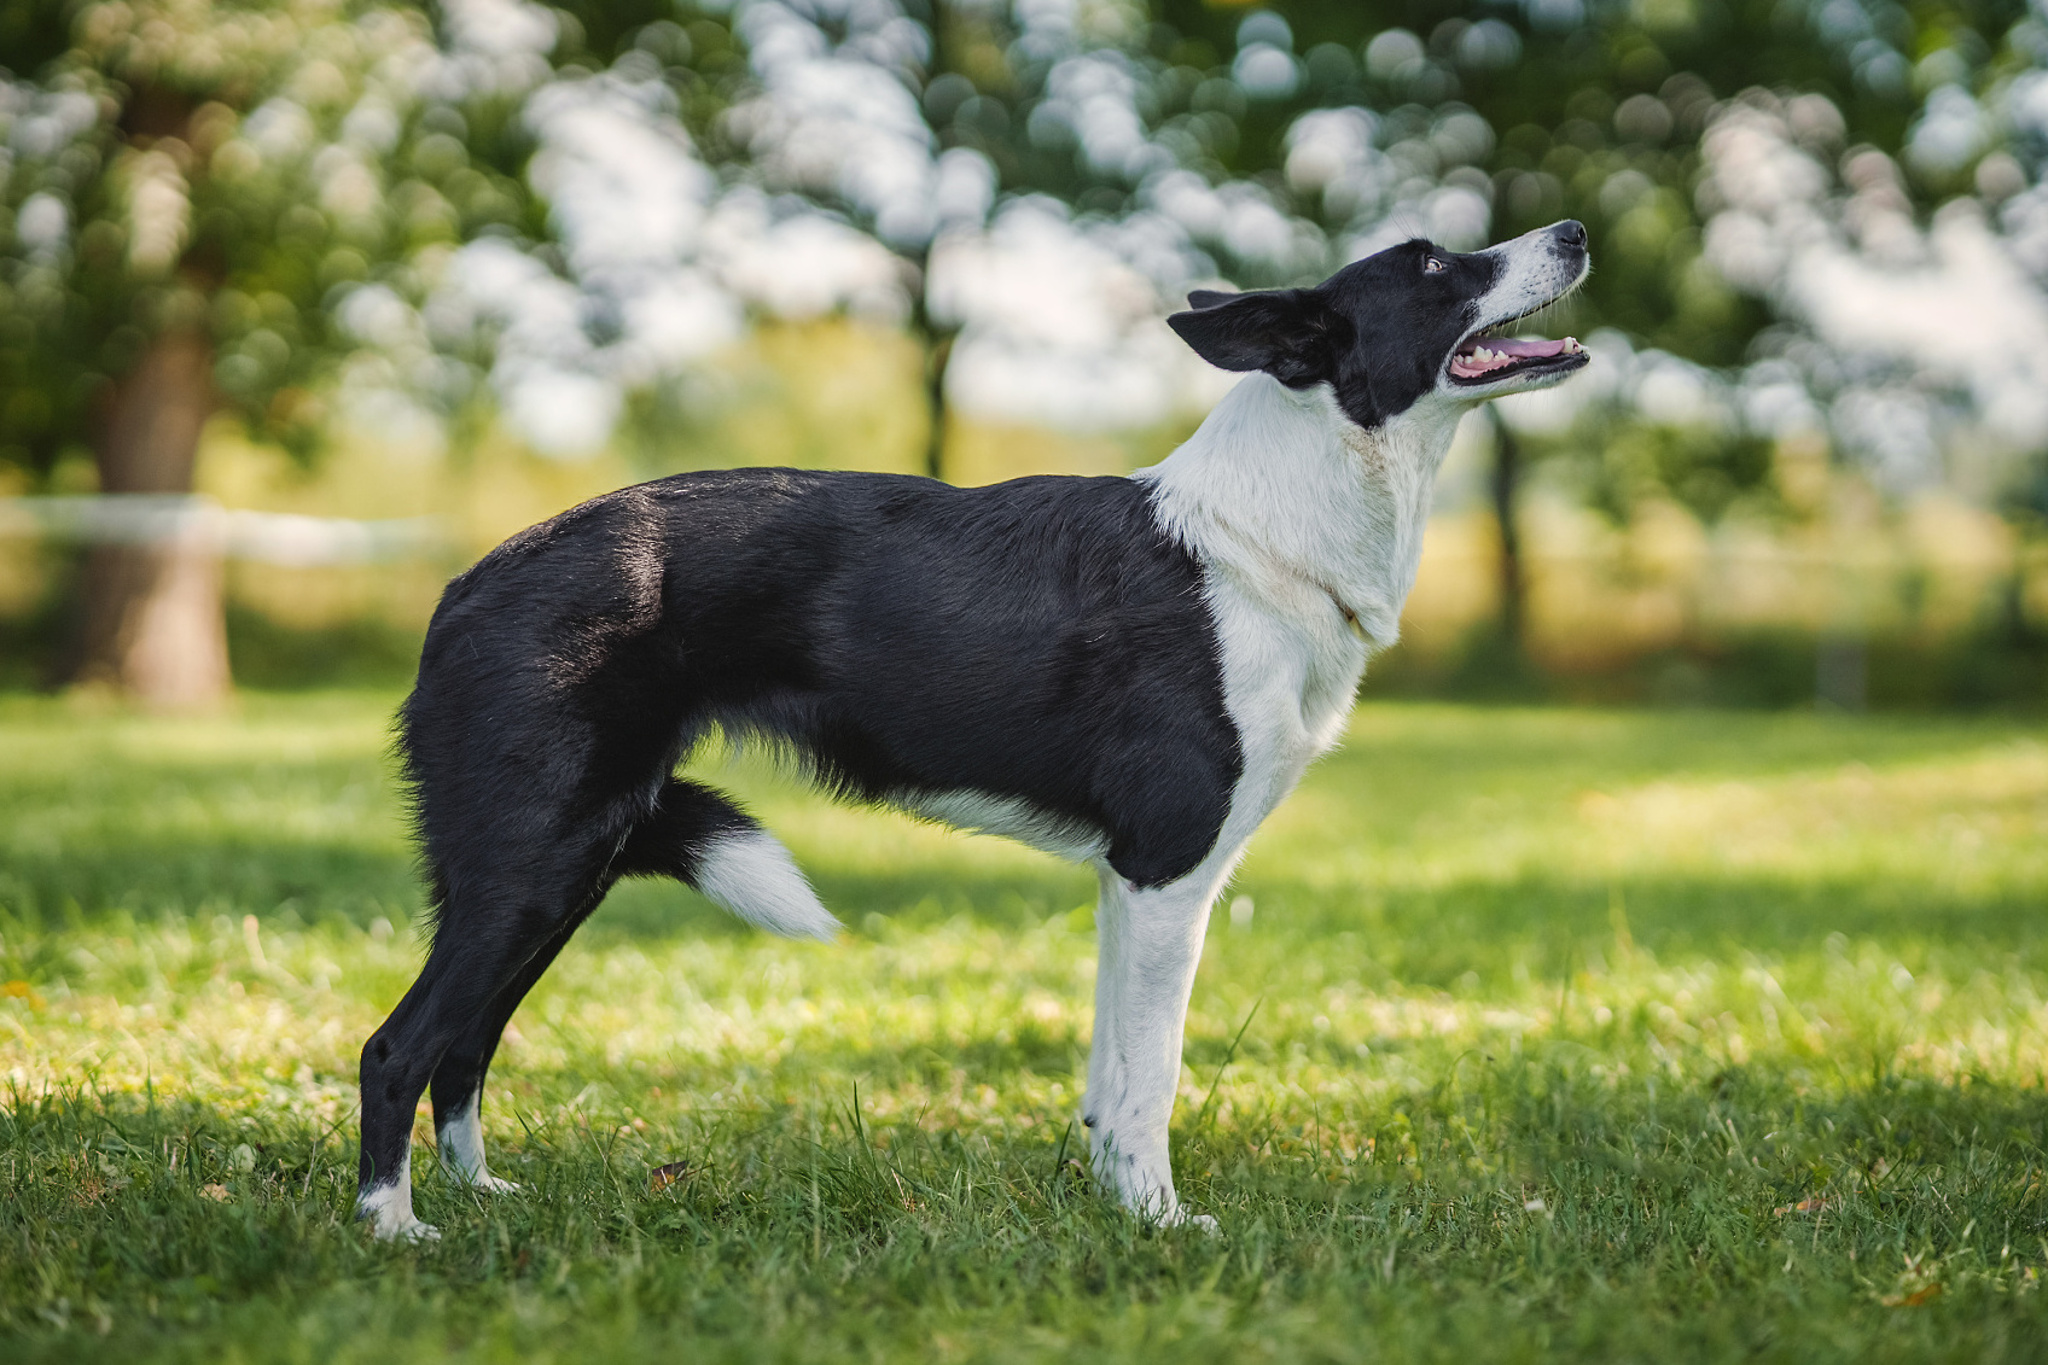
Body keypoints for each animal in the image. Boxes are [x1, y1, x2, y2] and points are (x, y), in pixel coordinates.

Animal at [355, 220, 1591, 1240]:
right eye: (1433, 266)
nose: (1576, 230)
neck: (1266, 533)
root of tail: (469, 580)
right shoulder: (1170, 873)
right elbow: (1153, 1075)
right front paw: (1161, 1225)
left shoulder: (1127, 884)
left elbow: (1108, 1080)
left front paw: (1111, 1206)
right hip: (534, 864)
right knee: (398, 1045)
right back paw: (394, 1232)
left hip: (566, 869)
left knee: (464, 1046)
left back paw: (479, 1196)